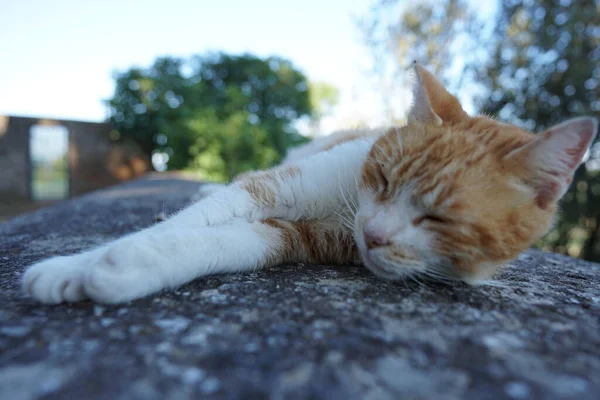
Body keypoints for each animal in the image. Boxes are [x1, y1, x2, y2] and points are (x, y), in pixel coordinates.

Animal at [21, 64, 596, 304]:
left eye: (439, 218)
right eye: (383, 177)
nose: (375, 233)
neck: (349, 207)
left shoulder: (299, 237)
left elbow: (210, 243)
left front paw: (116, 271)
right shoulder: (277, 188)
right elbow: (196, 219)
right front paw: (72, 267)